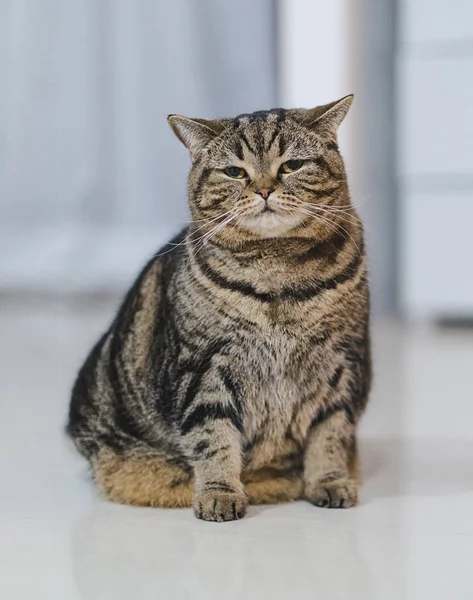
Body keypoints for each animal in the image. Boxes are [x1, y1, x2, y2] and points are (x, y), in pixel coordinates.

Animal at [66, 95, 370, 520]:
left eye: (291, 165)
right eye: (234, 172)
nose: (264, 189)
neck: (276, 271)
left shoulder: (342, 364)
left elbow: (331, 434)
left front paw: (329, 481)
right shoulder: (204, 368)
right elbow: (212, 436)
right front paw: (219, 492)